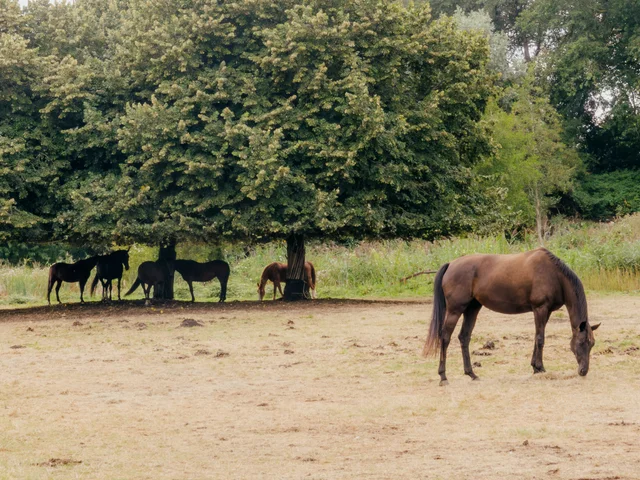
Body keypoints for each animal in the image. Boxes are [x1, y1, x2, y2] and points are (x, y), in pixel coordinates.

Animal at [423, 248, 600, 386]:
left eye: (592, 344)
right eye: (582, 343)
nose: (583, 371)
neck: (555, 275)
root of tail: (451, 264)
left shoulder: (546, 311)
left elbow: (537, 337)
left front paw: (535, 367)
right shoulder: (540, 309)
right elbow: (540, 338)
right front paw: (540, 367)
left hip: (472, 309)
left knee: (464, 337)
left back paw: (471, 374)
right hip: (455, 310)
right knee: (445, 337)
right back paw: (443, 376)